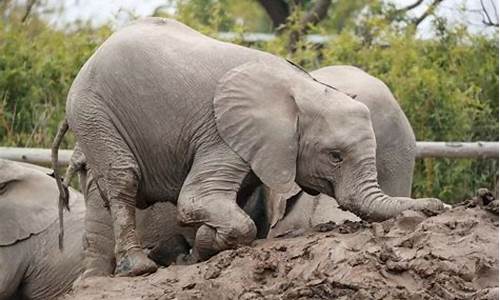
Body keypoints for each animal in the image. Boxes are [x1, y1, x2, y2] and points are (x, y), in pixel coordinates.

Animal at [50, 17, 444, 278]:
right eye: (335, 156)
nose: (437, 206)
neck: (304, 89)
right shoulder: (225, 134)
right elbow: (197, 200)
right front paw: (197, 249)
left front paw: (198, 249)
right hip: (94, 113)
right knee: (123, 181)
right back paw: (138, 268)